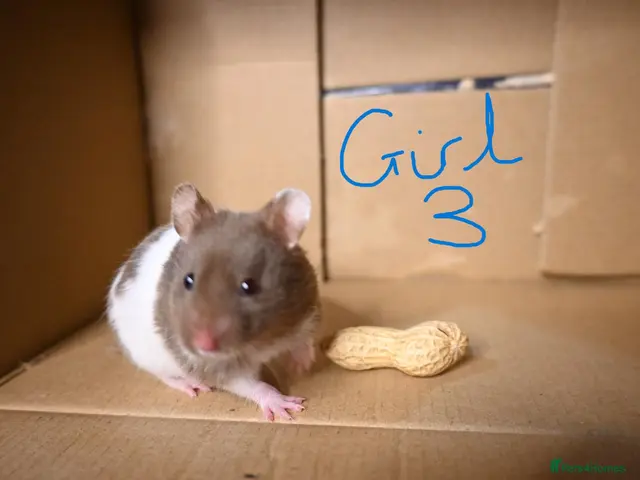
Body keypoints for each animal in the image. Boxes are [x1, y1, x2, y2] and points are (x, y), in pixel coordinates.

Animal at [107, 182, 321, 421]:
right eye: (188, 280)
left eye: (249, 285)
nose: (203, 344)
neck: (260, 342)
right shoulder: (215, 366)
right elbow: (251, 385)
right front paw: (286, 406)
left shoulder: (307, 307)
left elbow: (303, 339)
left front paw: (302, 366)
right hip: (148, 356)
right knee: (165, 376)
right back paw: (192, 385)